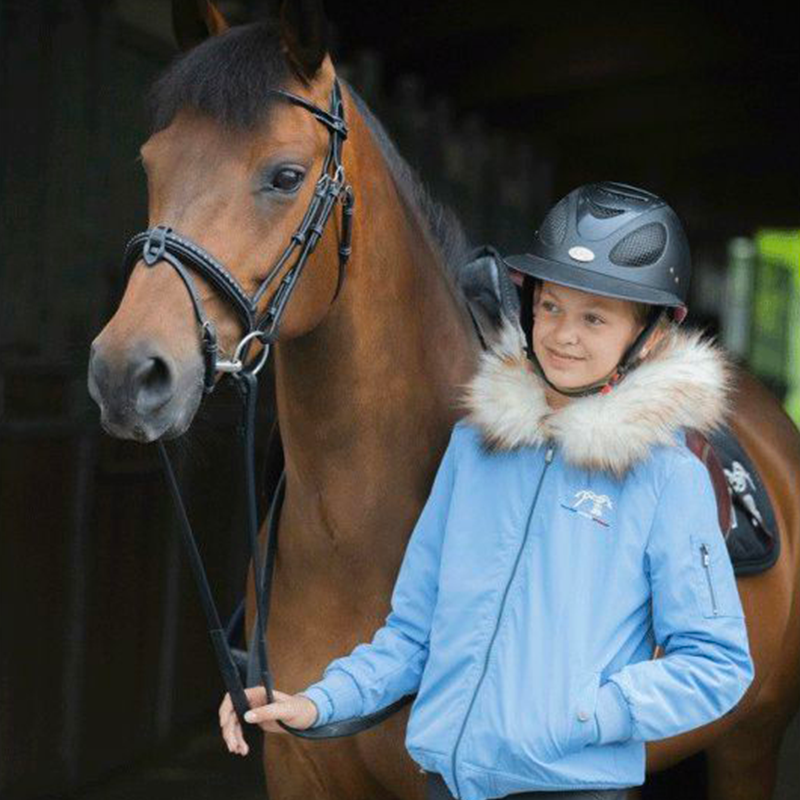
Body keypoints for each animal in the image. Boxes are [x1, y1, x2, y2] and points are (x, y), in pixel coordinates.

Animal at [87, 1, 800, 800]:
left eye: (285, 175)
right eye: (152, 162)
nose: (127, 373)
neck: (351, 535)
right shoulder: (299, 766)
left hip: (748, 744)